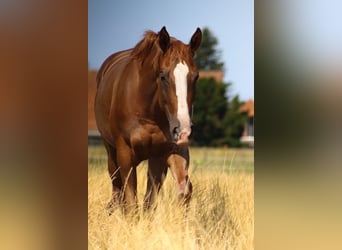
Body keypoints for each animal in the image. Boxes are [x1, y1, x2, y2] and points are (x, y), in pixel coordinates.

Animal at [95, 26, 202, 215]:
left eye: (195, 76)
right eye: (163, 76)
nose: (182, 130)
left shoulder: (165, 153)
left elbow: (177, 192)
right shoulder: (125, 153)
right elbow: (131, 200)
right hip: (111, 150)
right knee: (117, 185)